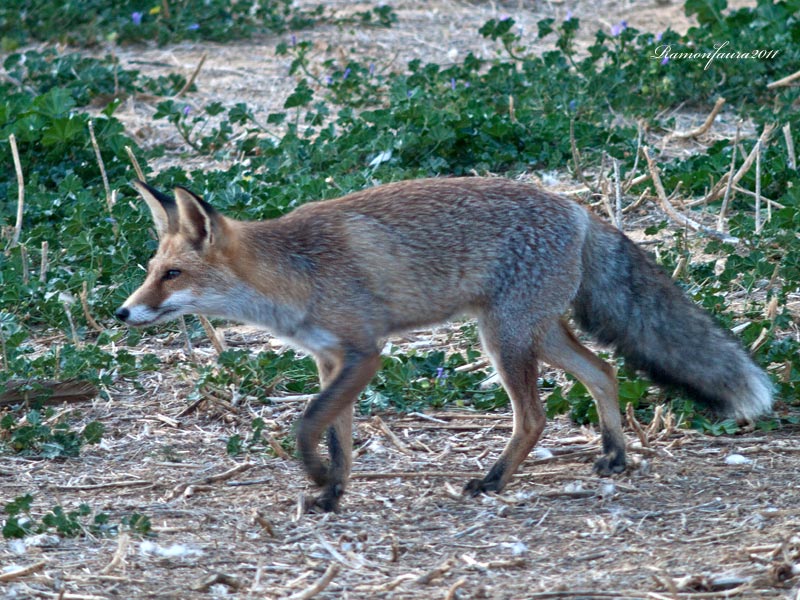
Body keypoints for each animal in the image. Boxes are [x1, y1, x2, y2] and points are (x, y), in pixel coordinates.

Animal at [115, 178, 772, 510]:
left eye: (172, 275)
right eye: (151, 270)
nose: (123, 312)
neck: (293, 272)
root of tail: (580, 209)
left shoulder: (364, 352)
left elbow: (308, 424)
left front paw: (315, 476)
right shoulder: (331, 359)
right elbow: (338, 434)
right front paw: (331, 492)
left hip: (504, 338)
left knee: (534, 416)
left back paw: (493, 481)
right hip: (534, 332)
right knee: (603, 372)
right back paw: (614, 454)